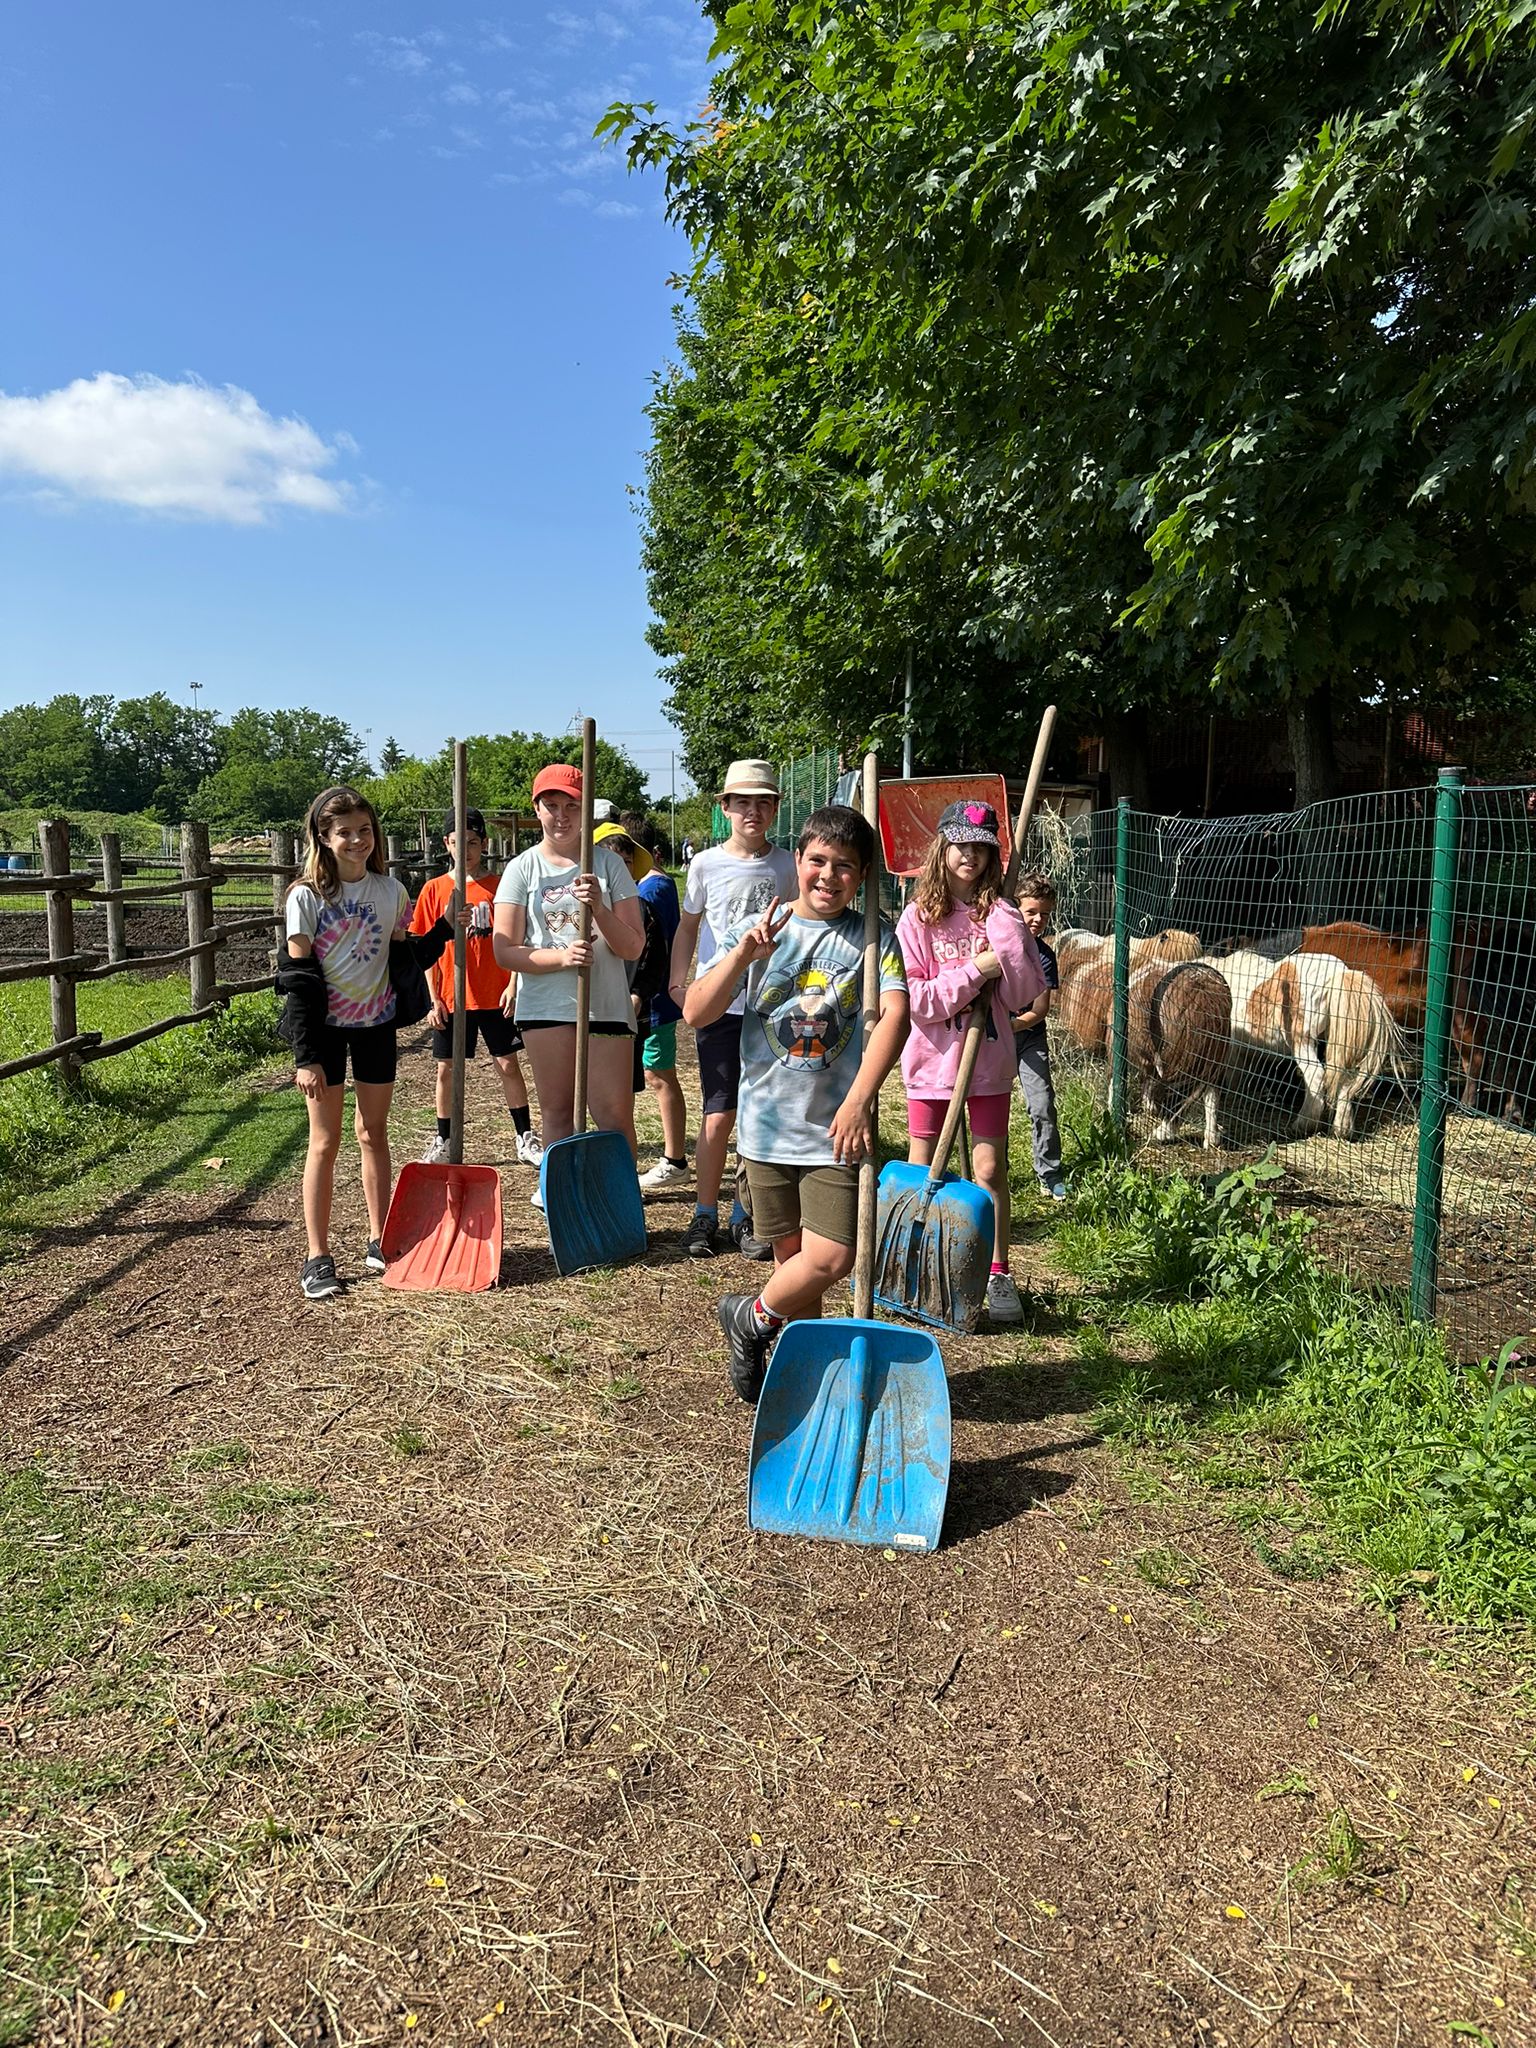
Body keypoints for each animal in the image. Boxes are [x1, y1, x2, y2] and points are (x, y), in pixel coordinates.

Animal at [1203, 947, 1410, 1139]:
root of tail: (1337, 973)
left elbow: (1234, 1079)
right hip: (1338, 1045)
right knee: (1345, 1080)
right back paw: (1341, 1130)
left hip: (1302, 1041)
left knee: (1315, 1075)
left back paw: (1303, 1124)